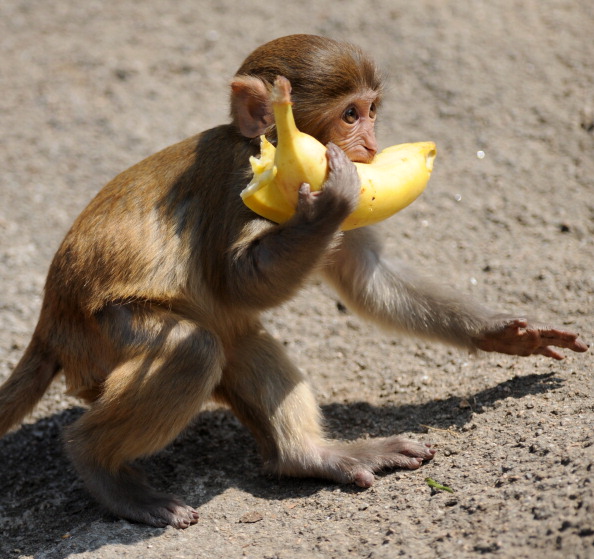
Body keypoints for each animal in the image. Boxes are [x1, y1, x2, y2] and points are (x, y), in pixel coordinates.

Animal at [0, 34, 584, 528]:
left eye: (372, 110)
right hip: (97, 338)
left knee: (236, 339)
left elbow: (365, 279)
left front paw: (507, 333)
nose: (371, 145)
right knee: (194, 346)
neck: (263, 147)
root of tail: (49, 321)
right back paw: (99, 467)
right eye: (350, 114)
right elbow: (237, 282)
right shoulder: (236, 188)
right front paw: (328, 204)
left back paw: (309, 457)